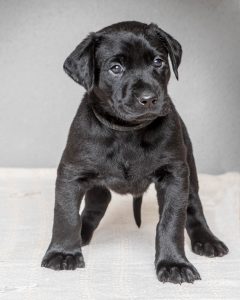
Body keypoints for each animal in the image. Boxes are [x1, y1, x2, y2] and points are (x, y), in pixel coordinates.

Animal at [41, 21, 229, 284]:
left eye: (158, 62)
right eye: (115, 68)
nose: (148, 98)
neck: (127, 131)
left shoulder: (174, 175)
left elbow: (171, 221)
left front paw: (174, 264)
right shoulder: (71, 172)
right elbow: (66, 214)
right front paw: (63, 253)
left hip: (189, 169)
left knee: (193, 205)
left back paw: (207, 240)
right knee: (96, 204)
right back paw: (82, 235)